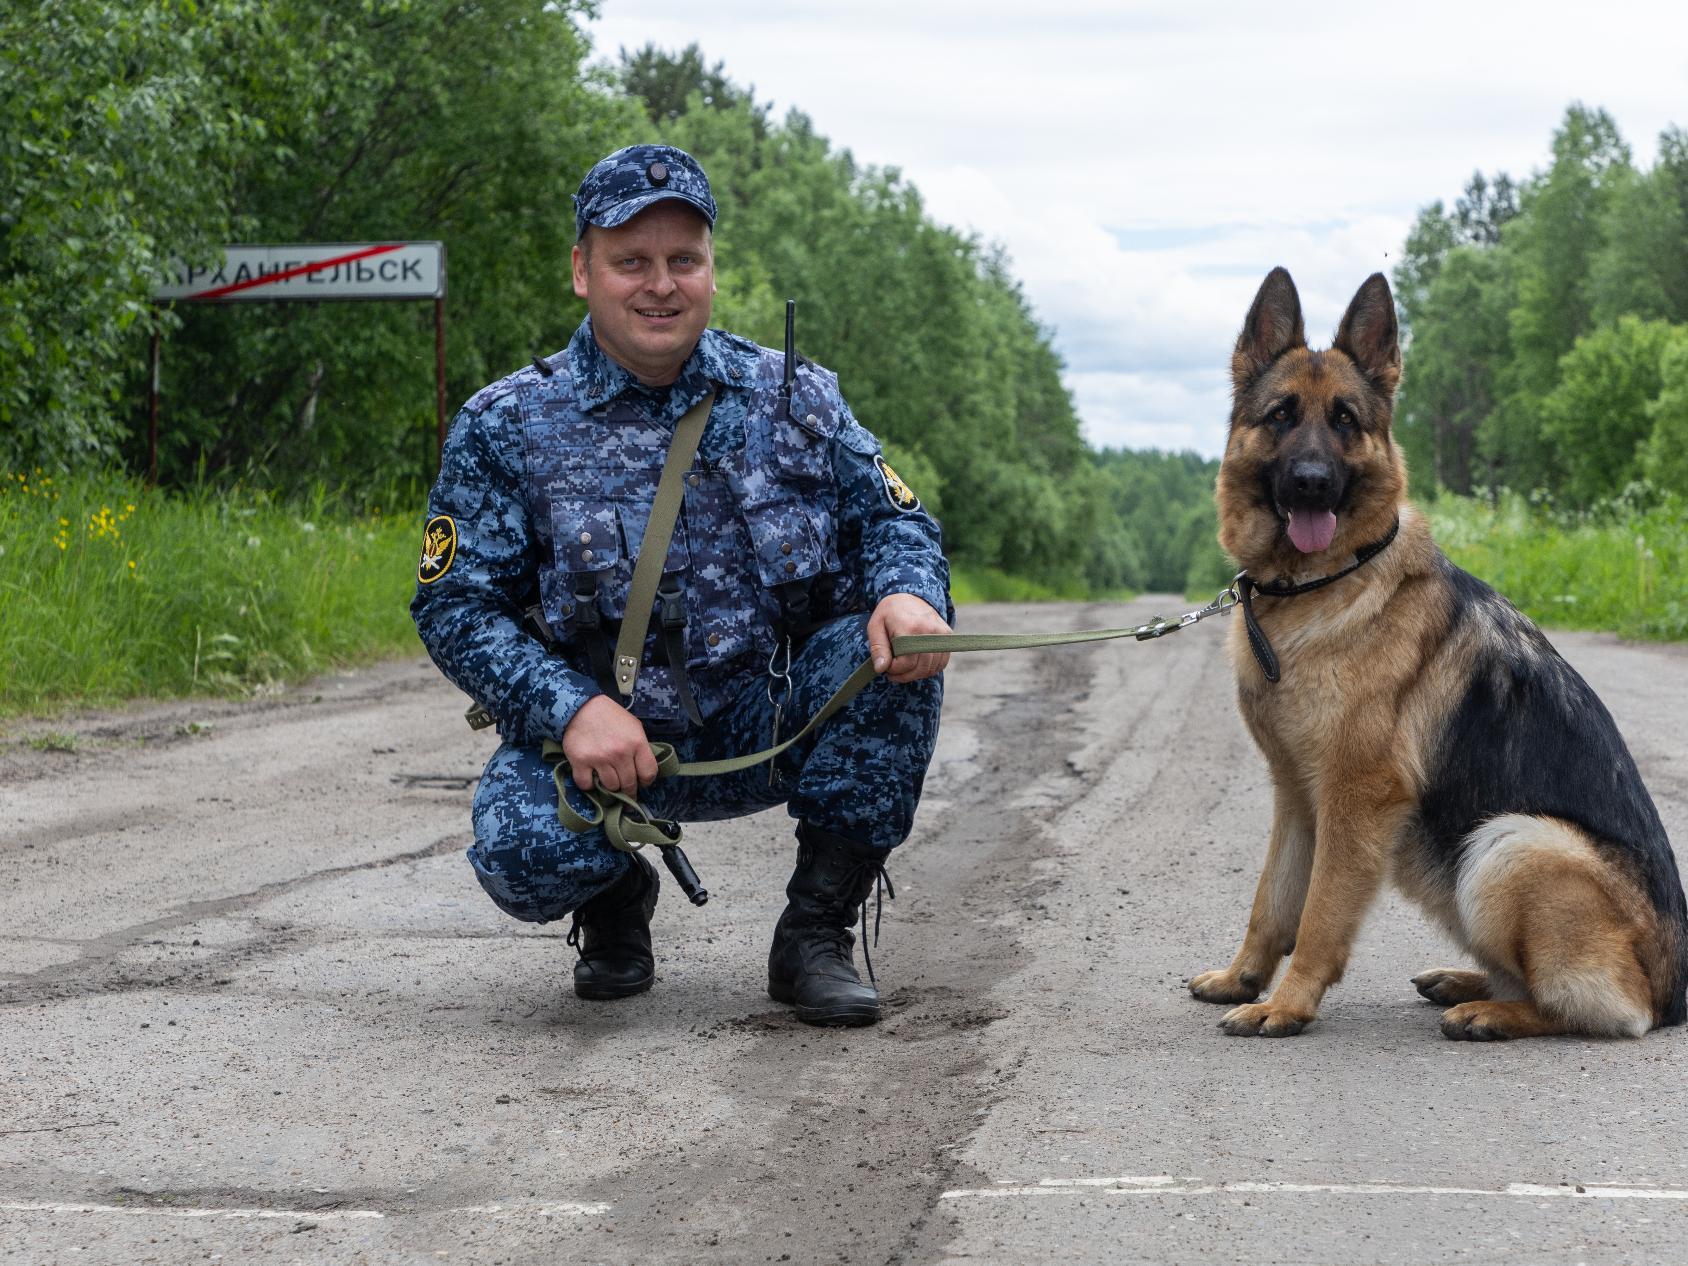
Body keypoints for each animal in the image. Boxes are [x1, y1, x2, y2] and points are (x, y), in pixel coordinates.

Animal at [1188, 268, 1688, 1039]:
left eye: (1345, 420)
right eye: (1280, 416)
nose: (1311, 482)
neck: (1317, 584)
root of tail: (1677, 995)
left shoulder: (1353, 801)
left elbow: (1319, 915)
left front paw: (1288, 1004)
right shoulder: (1297, 796)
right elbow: (1272, 901)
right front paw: (1244, 979)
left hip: (1511, 843)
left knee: (1589, 1009)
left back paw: (1491, 1012)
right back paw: (1466, 982)